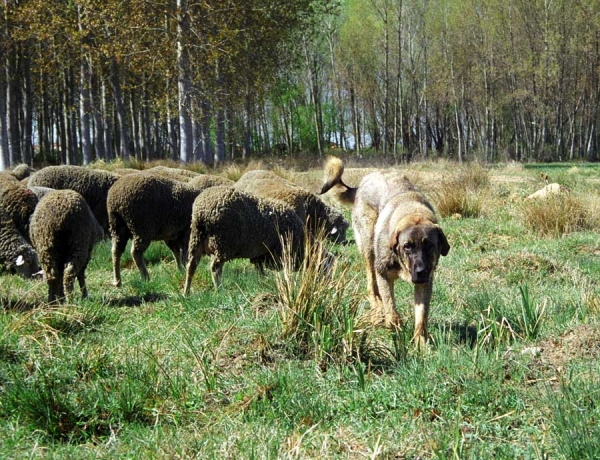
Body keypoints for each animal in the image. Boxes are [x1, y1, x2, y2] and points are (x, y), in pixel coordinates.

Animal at [322, 158, 448, 348]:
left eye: (429, 245)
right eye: (407, 246)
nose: (420, 272)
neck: (412, 212)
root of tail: (362, 183)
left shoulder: (425, 283)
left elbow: (421, 317)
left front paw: (420, 343)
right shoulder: (383, 273)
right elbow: (390, 306)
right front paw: (394, 326)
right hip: (368, 246)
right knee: (371, 285)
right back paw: (377, 309)